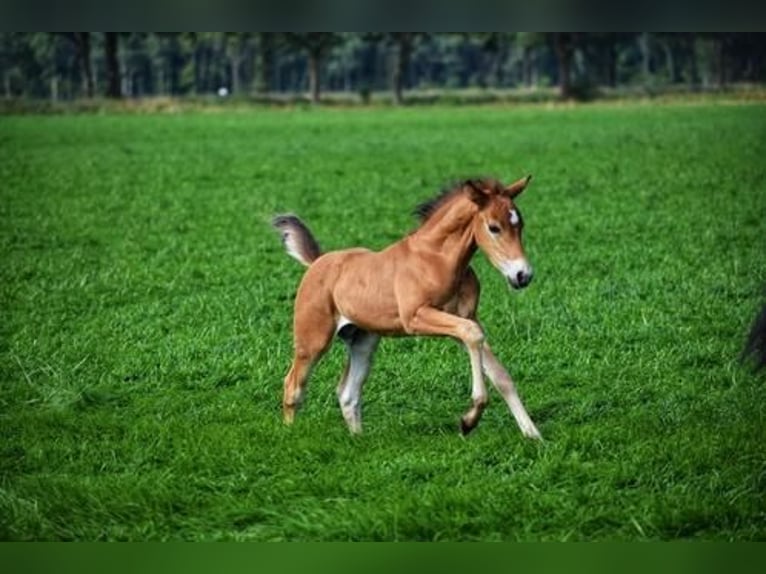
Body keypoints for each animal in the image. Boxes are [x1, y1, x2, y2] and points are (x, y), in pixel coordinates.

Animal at [272, 176, 544, 440]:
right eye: (494, 227)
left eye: (520, 225)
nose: (523, 275)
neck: (438, 259)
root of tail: (317, 262)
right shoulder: (415, 317)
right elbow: (472, 334)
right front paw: (469, 421)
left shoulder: (465, 318)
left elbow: (500, 374)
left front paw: (533, 435)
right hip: (313, 340)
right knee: (293, 385)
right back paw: (290, 436)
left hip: (364, 341)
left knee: (348, 393)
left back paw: (359, 440)